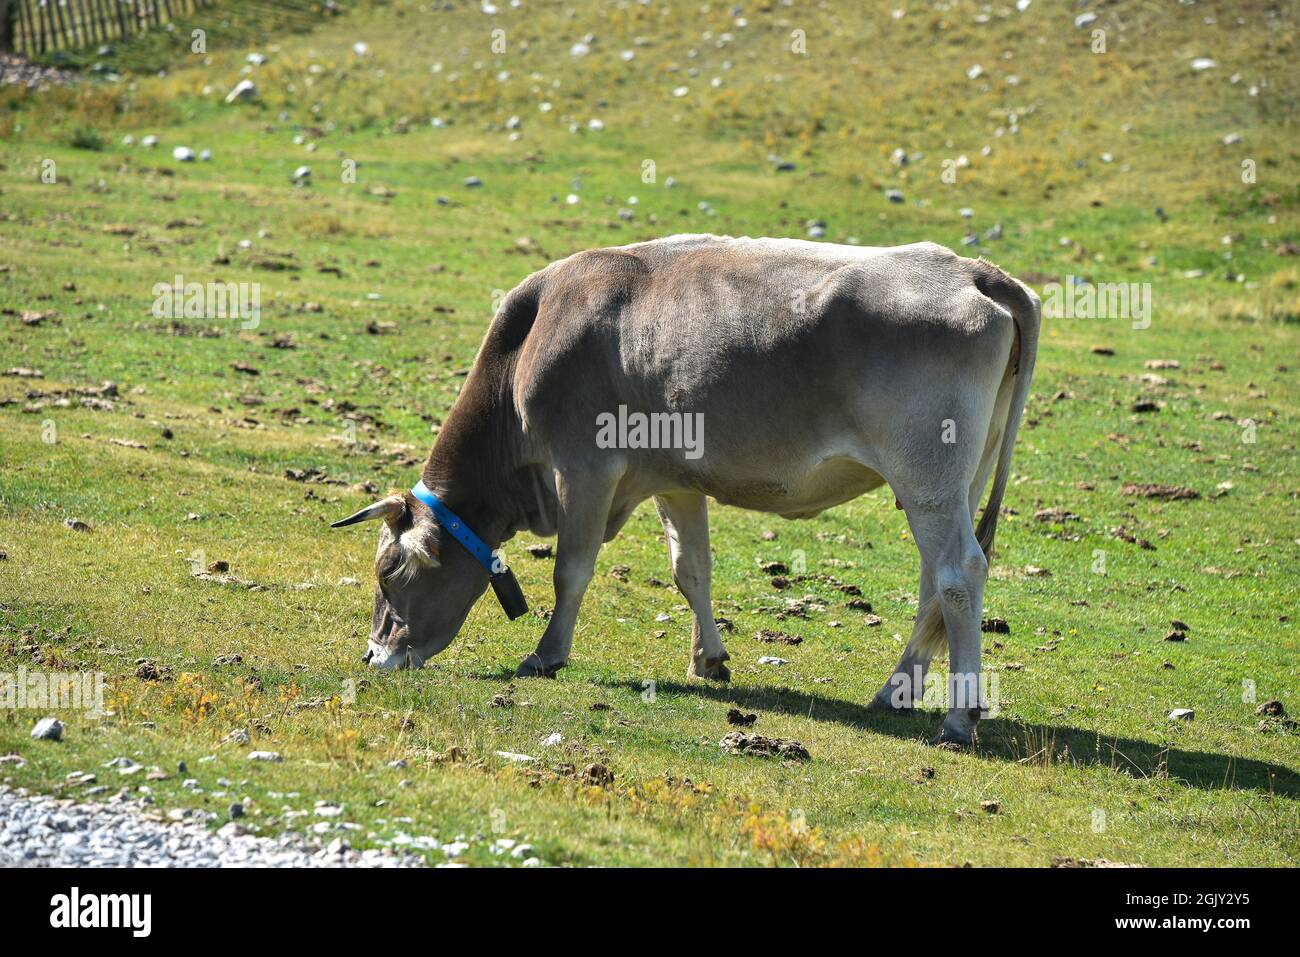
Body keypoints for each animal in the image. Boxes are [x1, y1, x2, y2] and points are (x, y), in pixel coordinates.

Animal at [332, 234, 1034, 748]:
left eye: (390, 573)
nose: (373, 657)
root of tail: (973, 270)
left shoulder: (584, 467)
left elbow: (571, 568)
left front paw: (547, 655)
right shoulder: (673, 478)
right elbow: (690, 569)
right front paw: (709, 660)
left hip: (927, 475)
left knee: (958, 573)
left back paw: (959, 717)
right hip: (954, 480)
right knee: (933, 584)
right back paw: (895, 692)